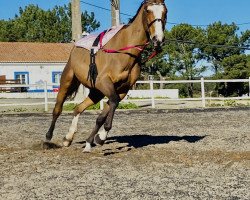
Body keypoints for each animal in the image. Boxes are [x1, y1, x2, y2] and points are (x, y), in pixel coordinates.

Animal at [46, 0, 168, 152]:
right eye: (147, 10)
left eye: (165, 11)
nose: (158, 39)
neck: (124, 52)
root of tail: (75, 46)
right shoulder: (104, 82)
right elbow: (112, 103)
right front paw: (101, 136)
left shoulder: (122, 89)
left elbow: (103, 115)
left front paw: (95, 139)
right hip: (67, 81)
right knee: (57, 109)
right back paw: (48, 137)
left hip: (96, 93)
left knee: (78, 108)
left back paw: (68, 138)